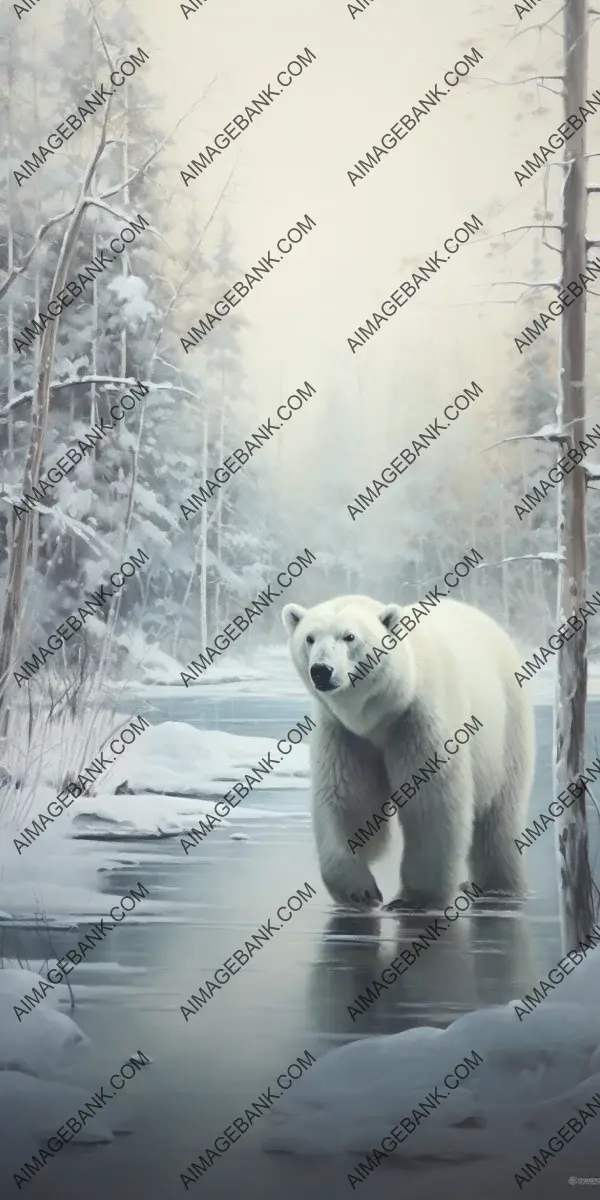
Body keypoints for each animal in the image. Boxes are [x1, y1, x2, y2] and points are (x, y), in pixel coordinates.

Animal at [280, 595, 535, 912]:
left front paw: (414, 899)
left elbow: (431, 801)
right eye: (310, 638)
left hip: (508, 724)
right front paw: (360, 892)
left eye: (349, 636)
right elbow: (348, 798)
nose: (321, 670)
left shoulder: (418, 718)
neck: (382, 713)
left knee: (500, 813)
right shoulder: (345, 733)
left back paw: (498, 886)